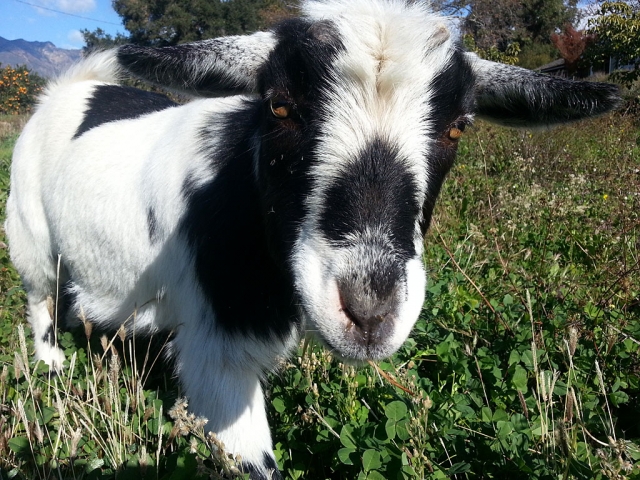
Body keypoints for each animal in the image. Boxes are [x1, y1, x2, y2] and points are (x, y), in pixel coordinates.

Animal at [2, 0, 616, 476]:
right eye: (278, 105)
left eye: (458, 125)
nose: (367, 312)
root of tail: (74, 89)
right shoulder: (217, 353)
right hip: (30, 236)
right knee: (39, 297)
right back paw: (50, 363)